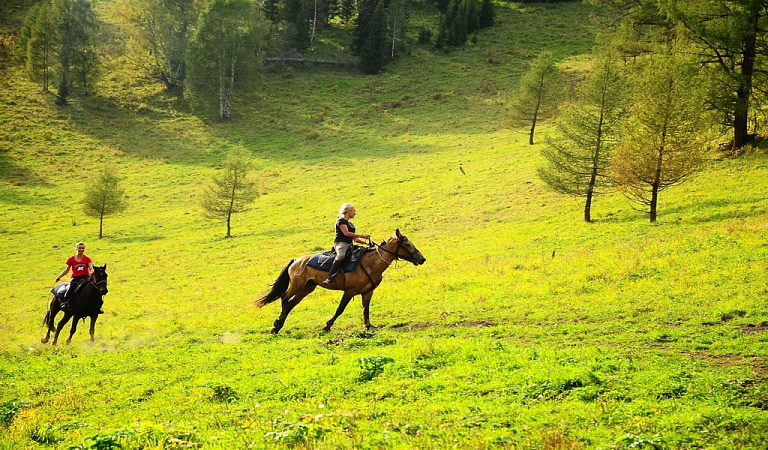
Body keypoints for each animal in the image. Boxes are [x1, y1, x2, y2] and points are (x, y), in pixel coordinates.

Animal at [256, 230, 426, 332]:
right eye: (407, 244)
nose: (422, 259)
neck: (371, 263)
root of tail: (296, 260)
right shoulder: (349, 291)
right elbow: (340, 309)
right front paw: (327, 326)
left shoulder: (368, 292)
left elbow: (366, 310)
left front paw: (369, 326)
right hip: (298, 285)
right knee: (285, 299)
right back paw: (277, 324)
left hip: (308, 287)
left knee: (291, 303)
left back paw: (278, 325)